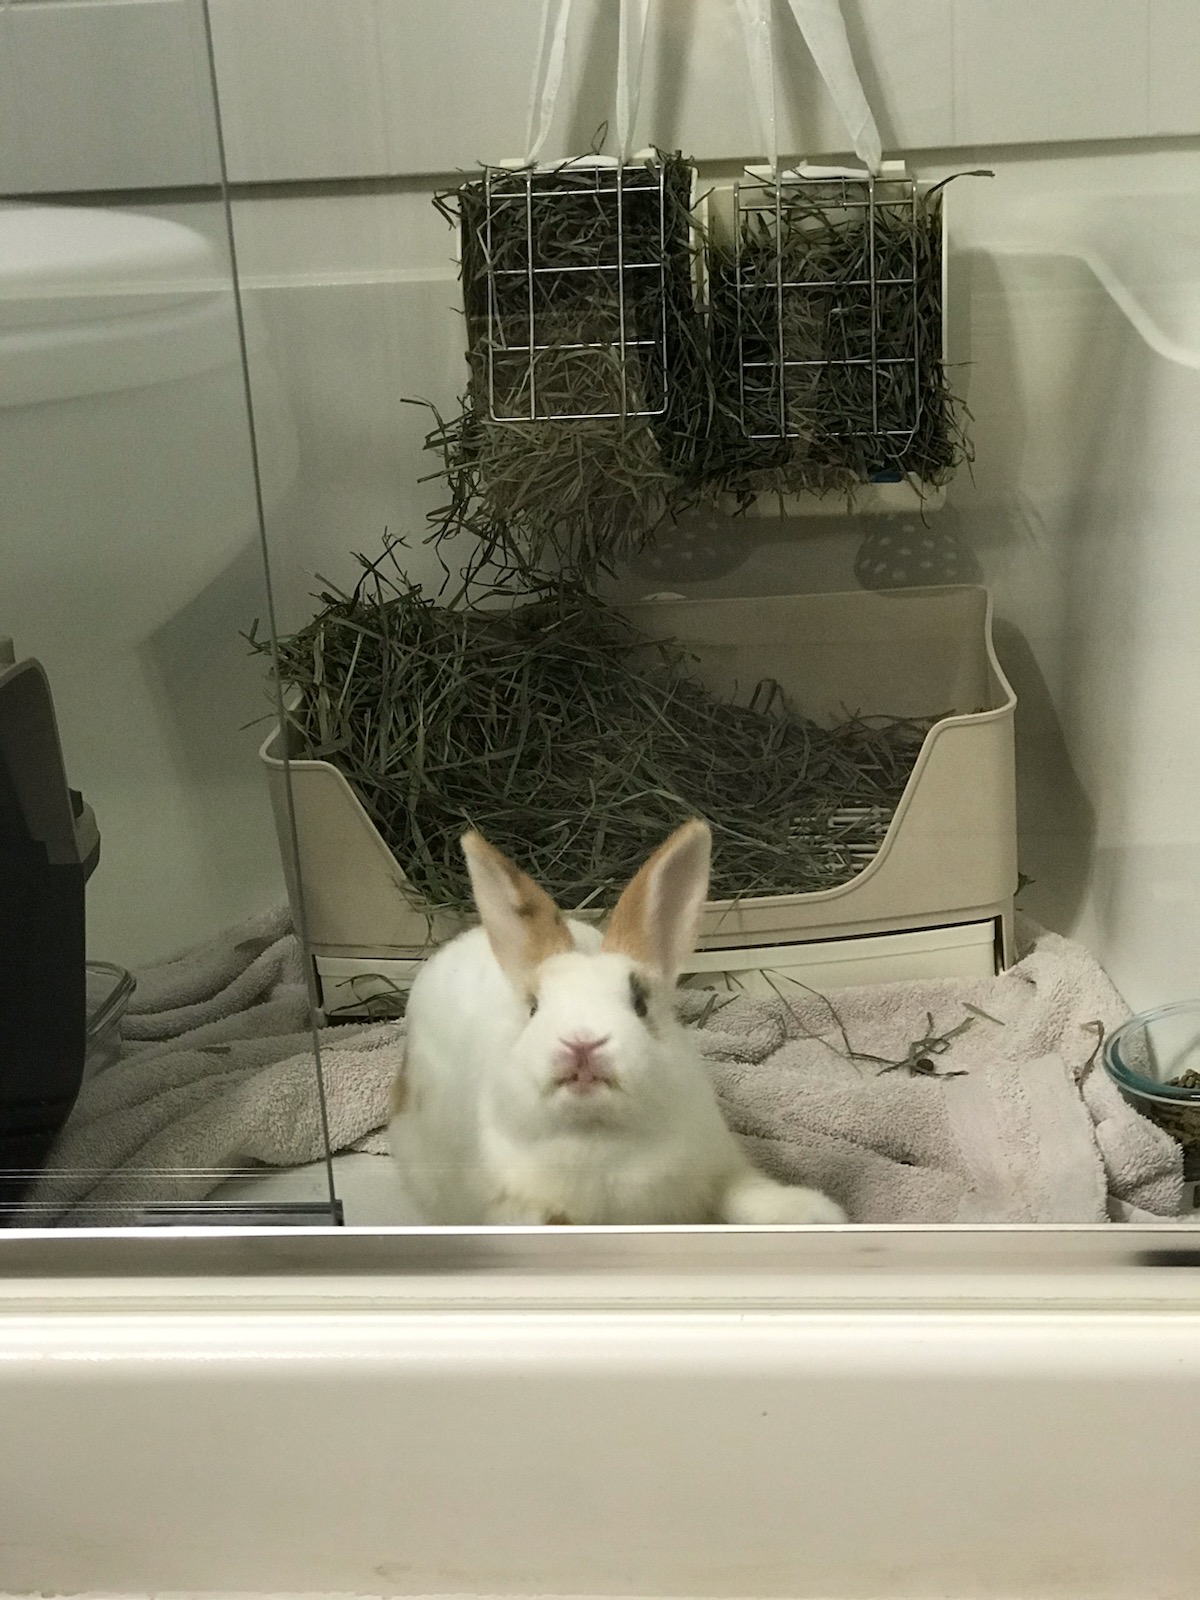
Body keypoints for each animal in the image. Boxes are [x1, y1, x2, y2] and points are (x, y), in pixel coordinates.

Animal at [388, 818, 846, 1227]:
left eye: (640, 1002)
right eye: (533, 1008)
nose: (582, 1042)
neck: (600, 1138)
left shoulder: (721, 1166)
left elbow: (745, 1196)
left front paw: (817, 1215)